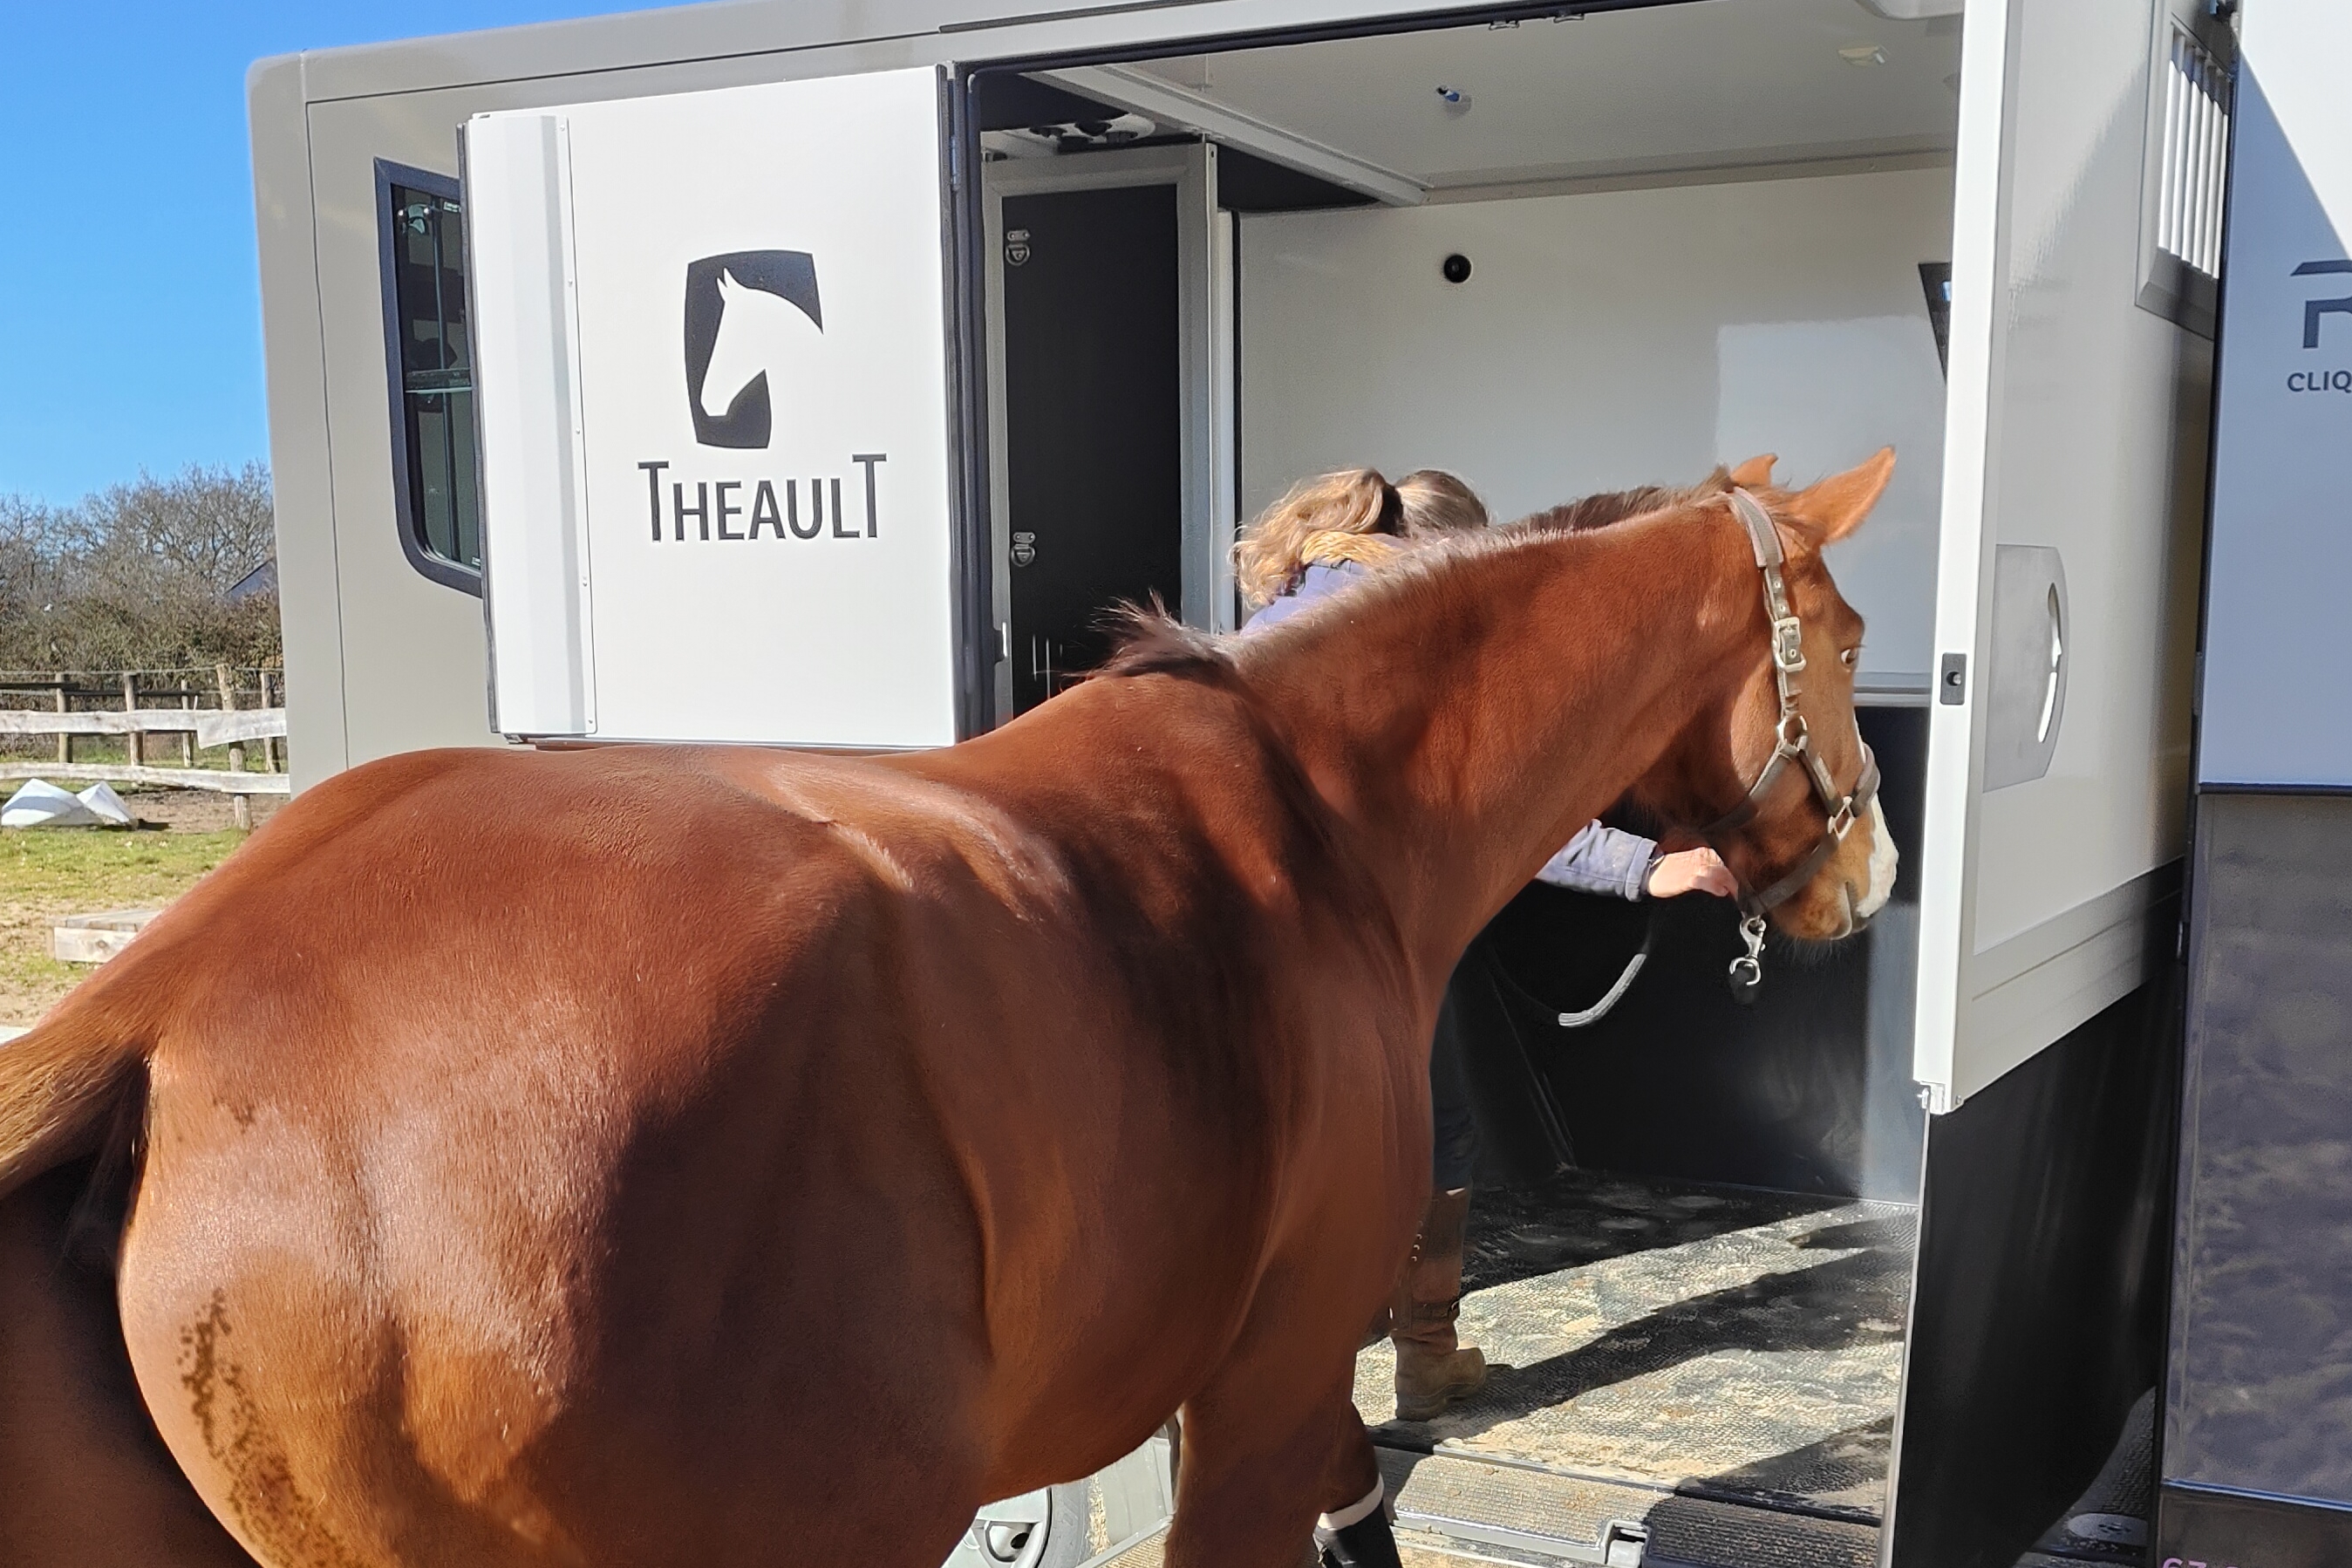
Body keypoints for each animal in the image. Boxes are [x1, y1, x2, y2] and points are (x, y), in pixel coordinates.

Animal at [0, 451, 1897, 1568]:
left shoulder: (1272, 1389)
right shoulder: (1262, 1384)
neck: (1318, 811)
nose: (1866, 869)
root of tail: (173, 1007)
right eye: (1848, 624)